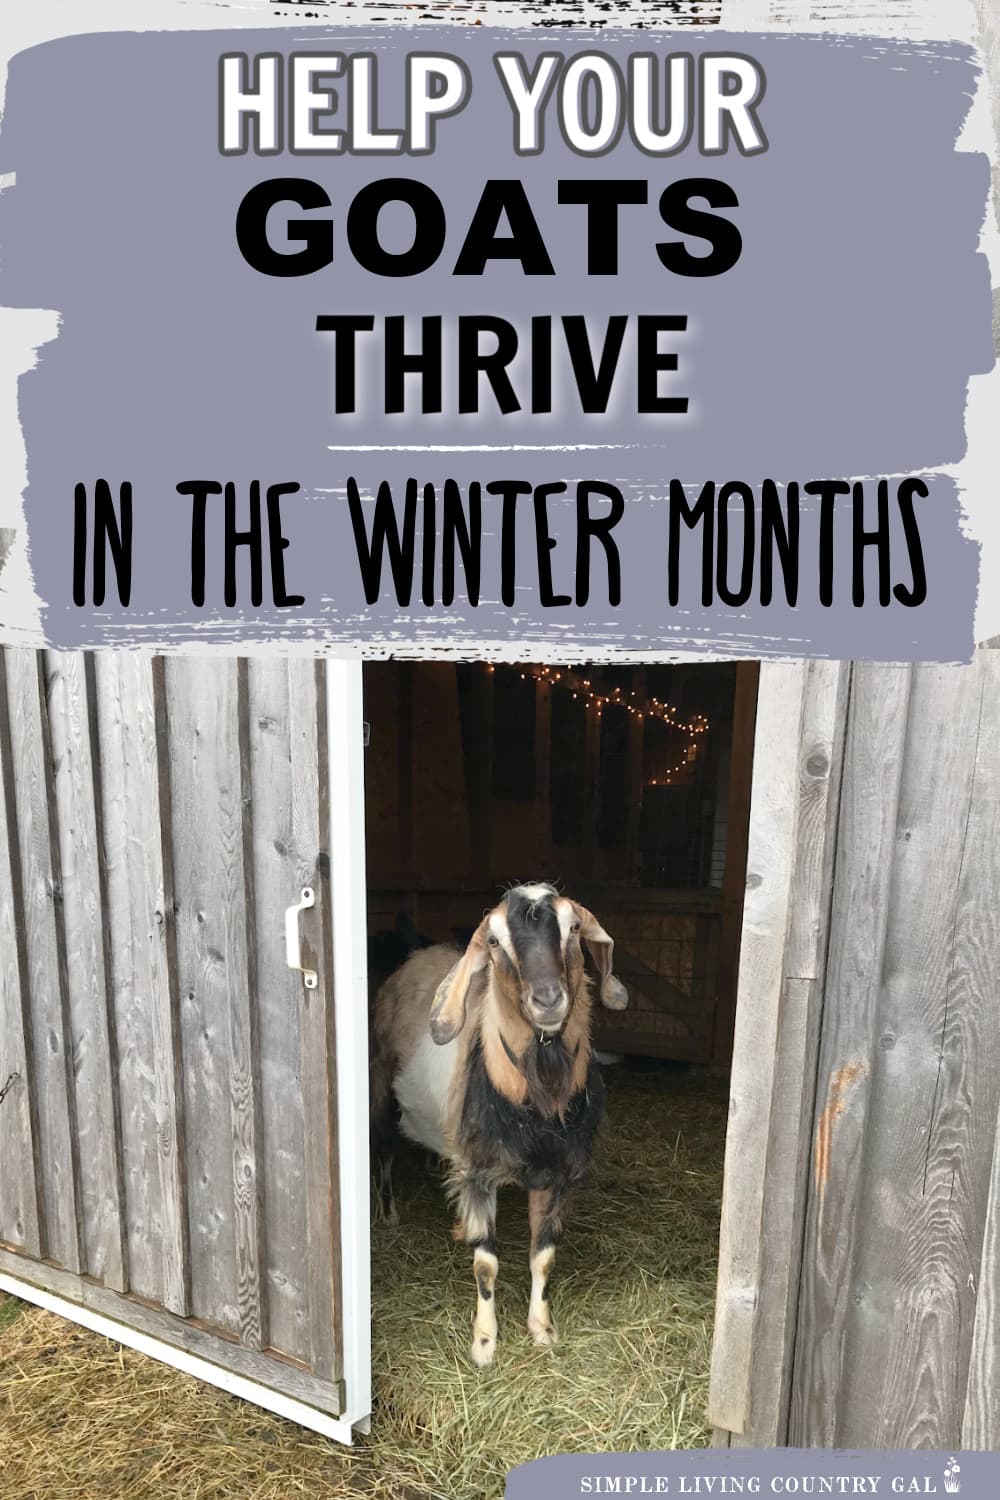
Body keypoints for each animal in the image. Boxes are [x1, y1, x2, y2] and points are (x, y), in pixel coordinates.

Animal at [370, 882, 628, 1367]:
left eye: (574, 928)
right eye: (493, 941)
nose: (547, 1000)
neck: (539, 1102)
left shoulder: (557, 1175)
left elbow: (543, 1256)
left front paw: (542, 1330)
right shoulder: (478, 1172)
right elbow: (486, 1263)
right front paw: (485, 1343)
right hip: (380, 1091)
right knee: (385, 1152)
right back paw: (389, 1212)